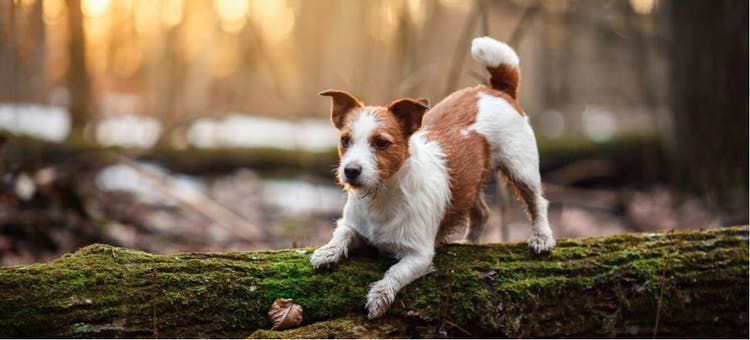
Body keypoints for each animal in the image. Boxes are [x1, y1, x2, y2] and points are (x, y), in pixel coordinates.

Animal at [312, 36, 560, 318]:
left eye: (381, 143)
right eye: (345, 140)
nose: (350, 170)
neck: (381, 196)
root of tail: (496, 90)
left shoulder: (418, 256)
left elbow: (394, 273)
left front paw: (379, 296)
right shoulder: (352, 225)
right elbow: (340, 235)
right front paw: (326, 253)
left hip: (521, 168)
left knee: (537, 202)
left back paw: (541, 237)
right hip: (469, 181)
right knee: (482, 212)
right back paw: (469, 242)